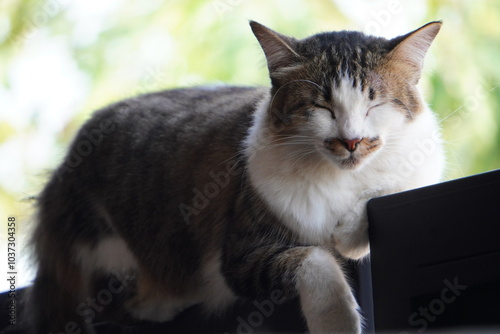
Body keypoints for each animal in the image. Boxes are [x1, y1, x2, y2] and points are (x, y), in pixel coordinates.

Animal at [29, 20, 444, 334]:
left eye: (374, 104)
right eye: (321, 107)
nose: (351, 141)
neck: (340, 178)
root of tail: (58, 178)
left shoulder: (419, 171)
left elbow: (386, 189)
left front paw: (350, 235)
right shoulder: (243, 255)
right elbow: (317, 262)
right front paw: (337, 322)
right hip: (109, 246)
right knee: (118, 305)